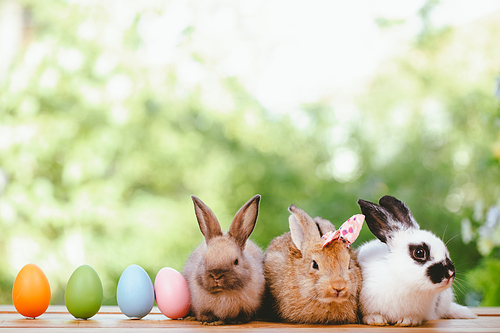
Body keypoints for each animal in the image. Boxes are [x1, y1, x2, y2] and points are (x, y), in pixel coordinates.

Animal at [181, 193, 266, 322]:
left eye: (236, 262)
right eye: (204, 261)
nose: (216, 276)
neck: (223, 293)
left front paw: (238, 320)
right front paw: (207, 320)